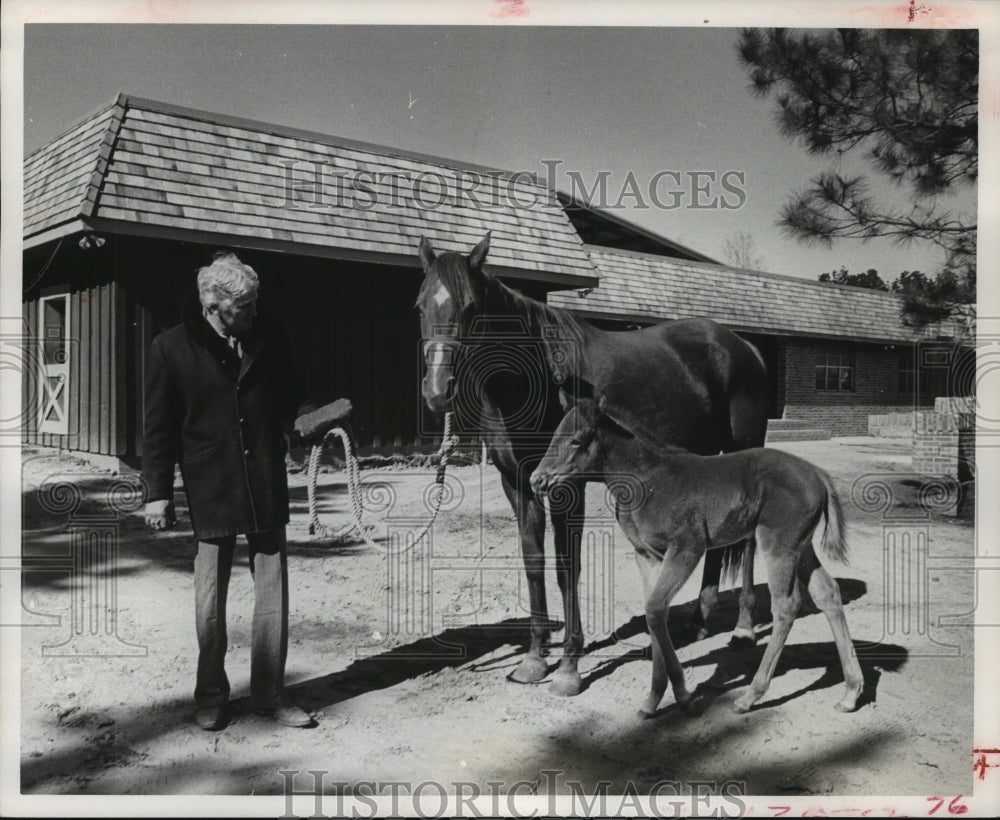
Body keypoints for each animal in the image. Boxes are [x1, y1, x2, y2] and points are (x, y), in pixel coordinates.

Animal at [414, 232, 764, 700]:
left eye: (471, 306)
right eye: (421, 306)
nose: (438, 390)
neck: (536, 375)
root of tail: (744, 347)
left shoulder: (566, 485)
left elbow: (568, 568)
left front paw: (568, 666)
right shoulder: (519, 483)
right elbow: (534, 563)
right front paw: (533, 660)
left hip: (747, 448)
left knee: (749, 541)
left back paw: (743, 628)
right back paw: (698, 622)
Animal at [532, 394, 868, 716]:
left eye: (577, 439)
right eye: (554, 435)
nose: (537, 479)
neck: (647, 479)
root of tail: (818, 475)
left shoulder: (687, 548)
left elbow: (655, 609)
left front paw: (683, 697)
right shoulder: (647, 555)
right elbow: (655, 613)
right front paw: (652, 702)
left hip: (778, 545)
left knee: (786, 606)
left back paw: (750, 696)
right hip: (801, 546)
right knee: (828, 593)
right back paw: (851, 692)